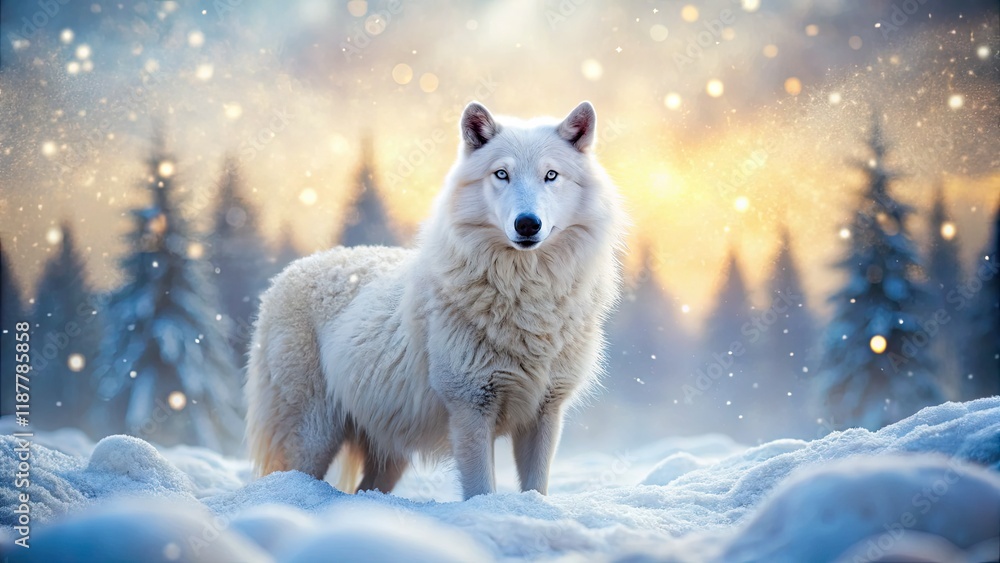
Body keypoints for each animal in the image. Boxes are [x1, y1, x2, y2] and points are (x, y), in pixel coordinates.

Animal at [245, 101, 625, 499]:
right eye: (501, 174)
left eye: (551, 175)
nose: (527, 224)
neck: (527, 294)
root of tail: (286, 275)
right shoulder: (470, 408)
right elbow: (481, 490)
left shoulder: (546, 412)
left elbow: (536, 488)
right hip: (313, 437)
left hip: (388, 458)